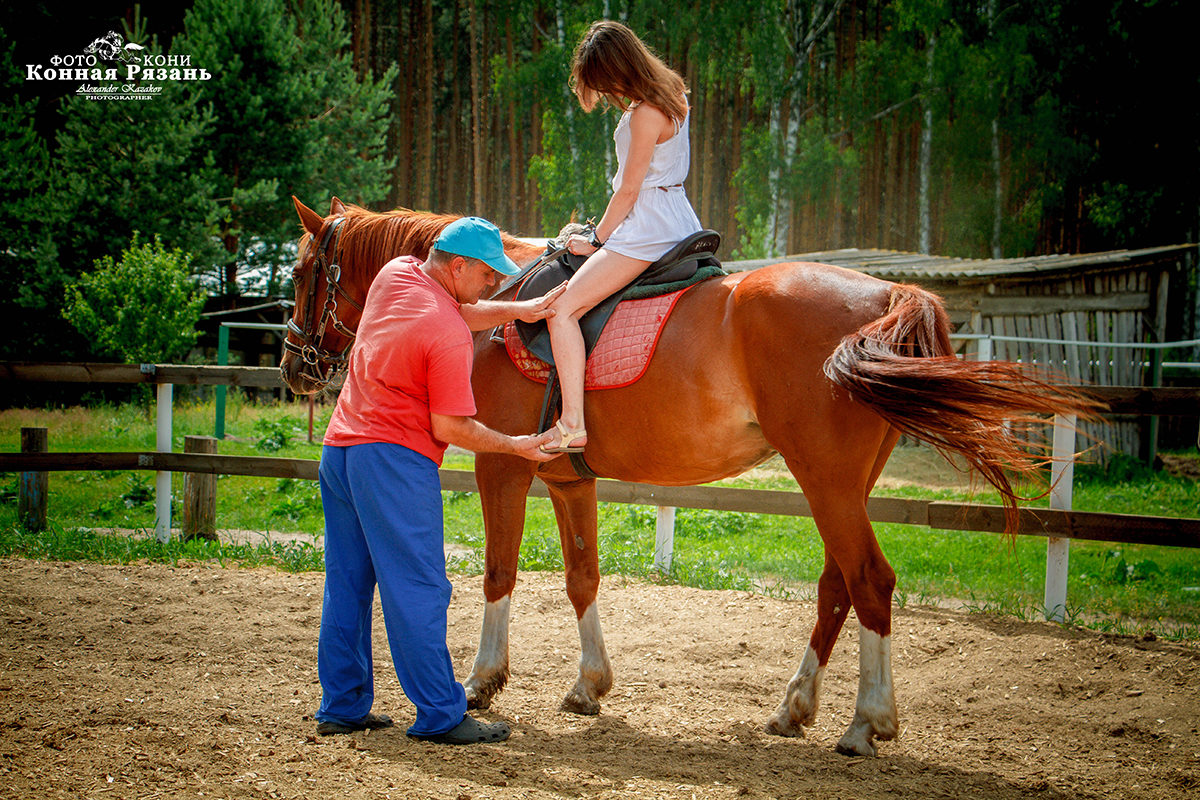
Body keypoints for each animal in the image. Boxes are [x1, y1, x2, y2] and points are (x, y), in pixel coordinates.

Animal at [283, 199, 1099, 758]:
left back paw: (867, 721)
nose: (294, 365)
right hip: (843, 486)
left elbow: (497, 571)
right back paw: (795, 707)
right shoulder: (569, 481)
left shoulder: (502, 464)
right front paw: (589, 685)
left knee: (870, 581)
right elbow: (582, 575)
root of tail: (885, 294)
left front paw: (484, 680)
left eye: (300, 272)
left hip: (827, 480)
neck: (493, 305)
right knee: (838, 585)